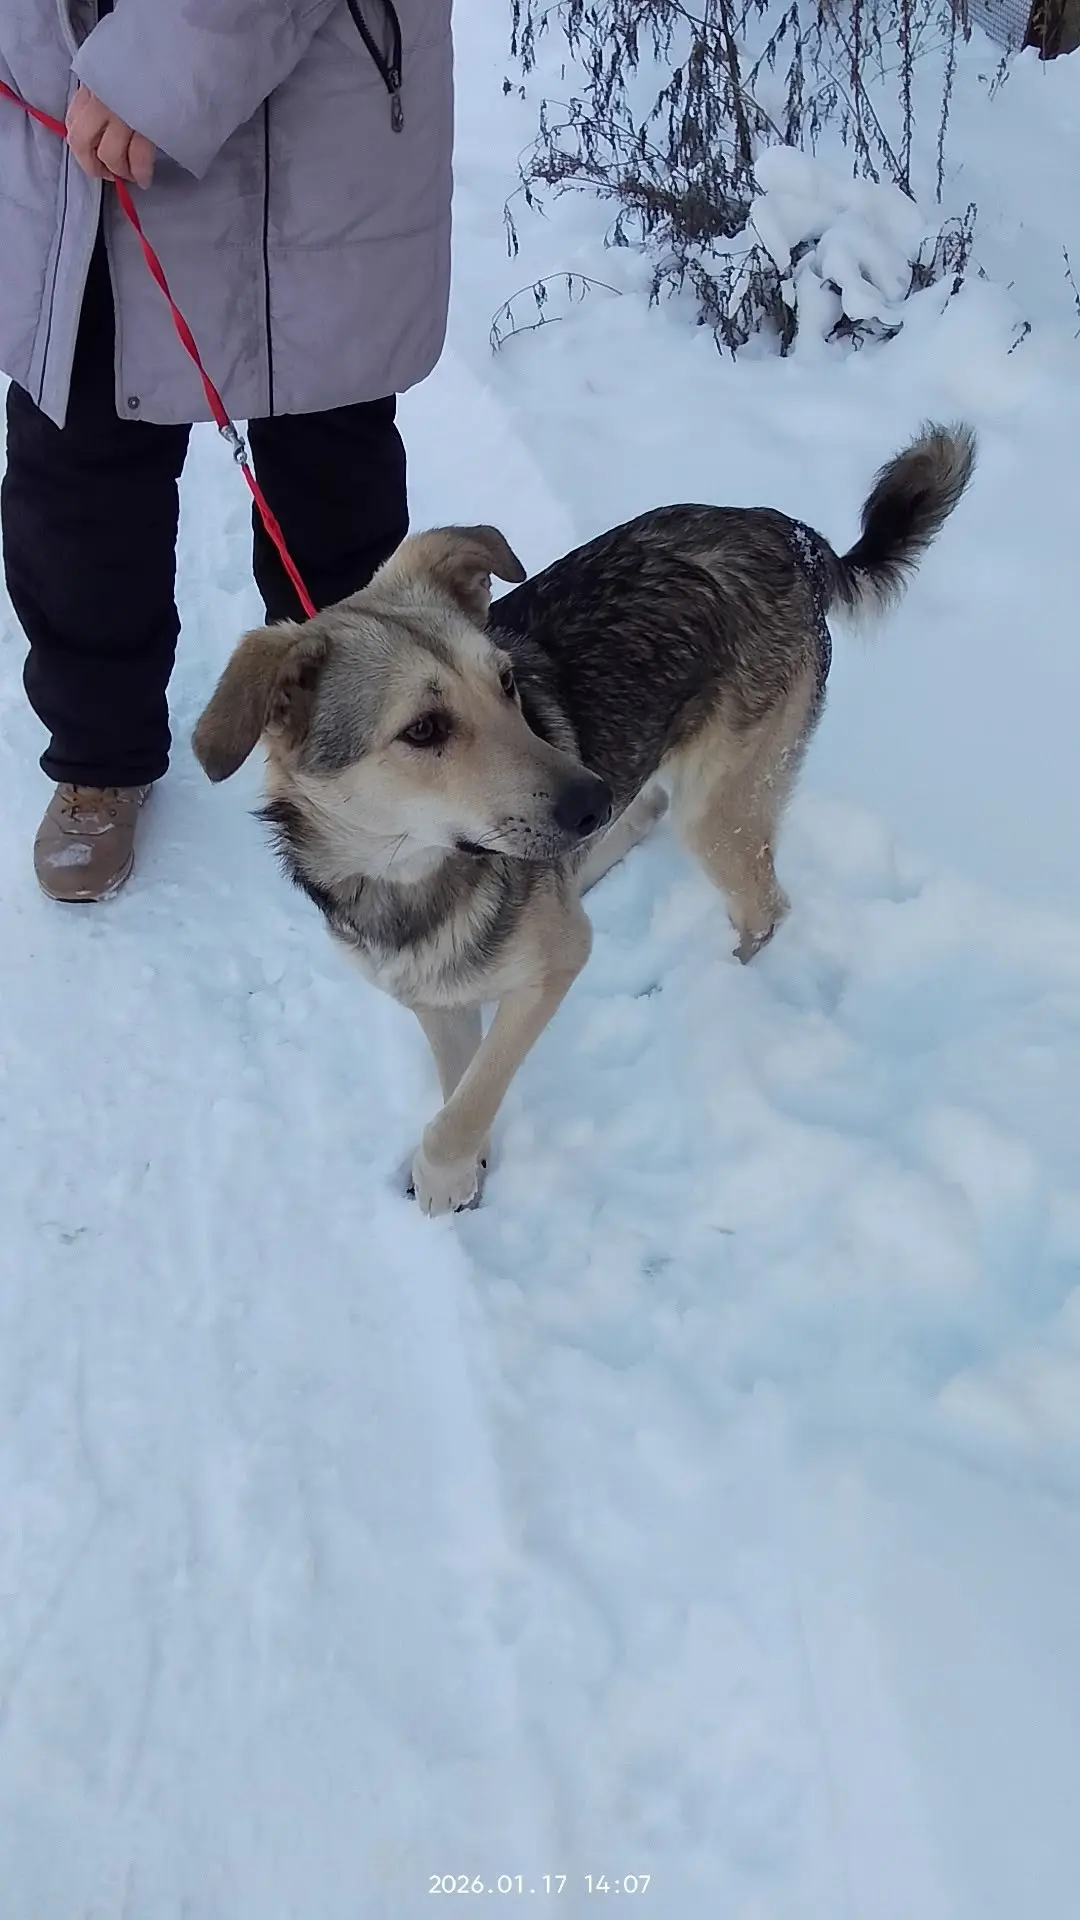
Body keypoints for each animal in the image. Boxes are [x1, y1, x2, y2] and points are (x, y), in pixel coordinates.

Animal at [192, 422, 975, 1216]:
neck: (408, 878)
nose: (590, 798)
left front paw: (443, 1178)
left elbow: (467, 1102)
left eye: (507, 682)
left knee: (762, 904)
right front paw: (470, 1172)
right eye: (423, 730)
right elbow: (460, 1083)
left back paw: (715, 979)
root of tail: (792, 536)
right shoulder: (434, 997)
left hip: (721, 805)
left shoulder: (557, 965)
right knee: (650, 811)